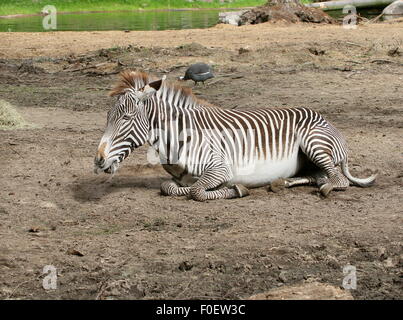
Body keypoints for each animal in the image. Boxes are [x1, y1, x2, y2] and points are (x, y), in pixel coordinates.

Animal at [94, 71, 378, 201]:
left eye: (126, 118)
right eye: (107, 117)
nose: (98, 160)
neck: (175, 138)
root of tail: (323, 117)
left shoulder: (220, 168)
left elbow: (197, 191)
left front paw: (234, 189)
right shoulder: (179, 178)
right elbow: (169, 187)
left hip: (313, 143)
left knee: (338, 180)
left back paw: (325, 187)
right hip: (309, 159)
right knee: (318, 176)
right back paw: (283, 182)